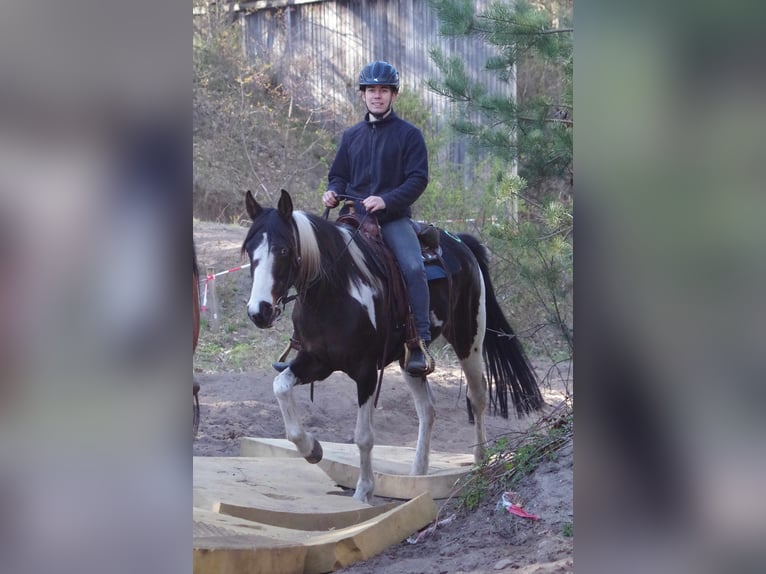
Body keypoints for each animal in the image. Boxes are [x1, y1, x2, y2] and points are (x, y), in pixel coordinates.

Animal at [243, 190, 544, 504]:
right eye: (250, 250)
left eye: (283, 250)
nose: (259, 311)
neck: (335, 290)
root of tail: (462, 243)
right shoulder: (316, 361)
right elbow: (280, 386)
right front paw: (312, 449)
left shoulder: (365, 371)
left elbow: (363, 436)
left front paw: (364, 491)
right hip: (410, 359)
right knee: (427, 409)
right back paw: (418, 472)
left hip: (468, 340)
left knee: (478, 396)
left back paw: (480, 459)